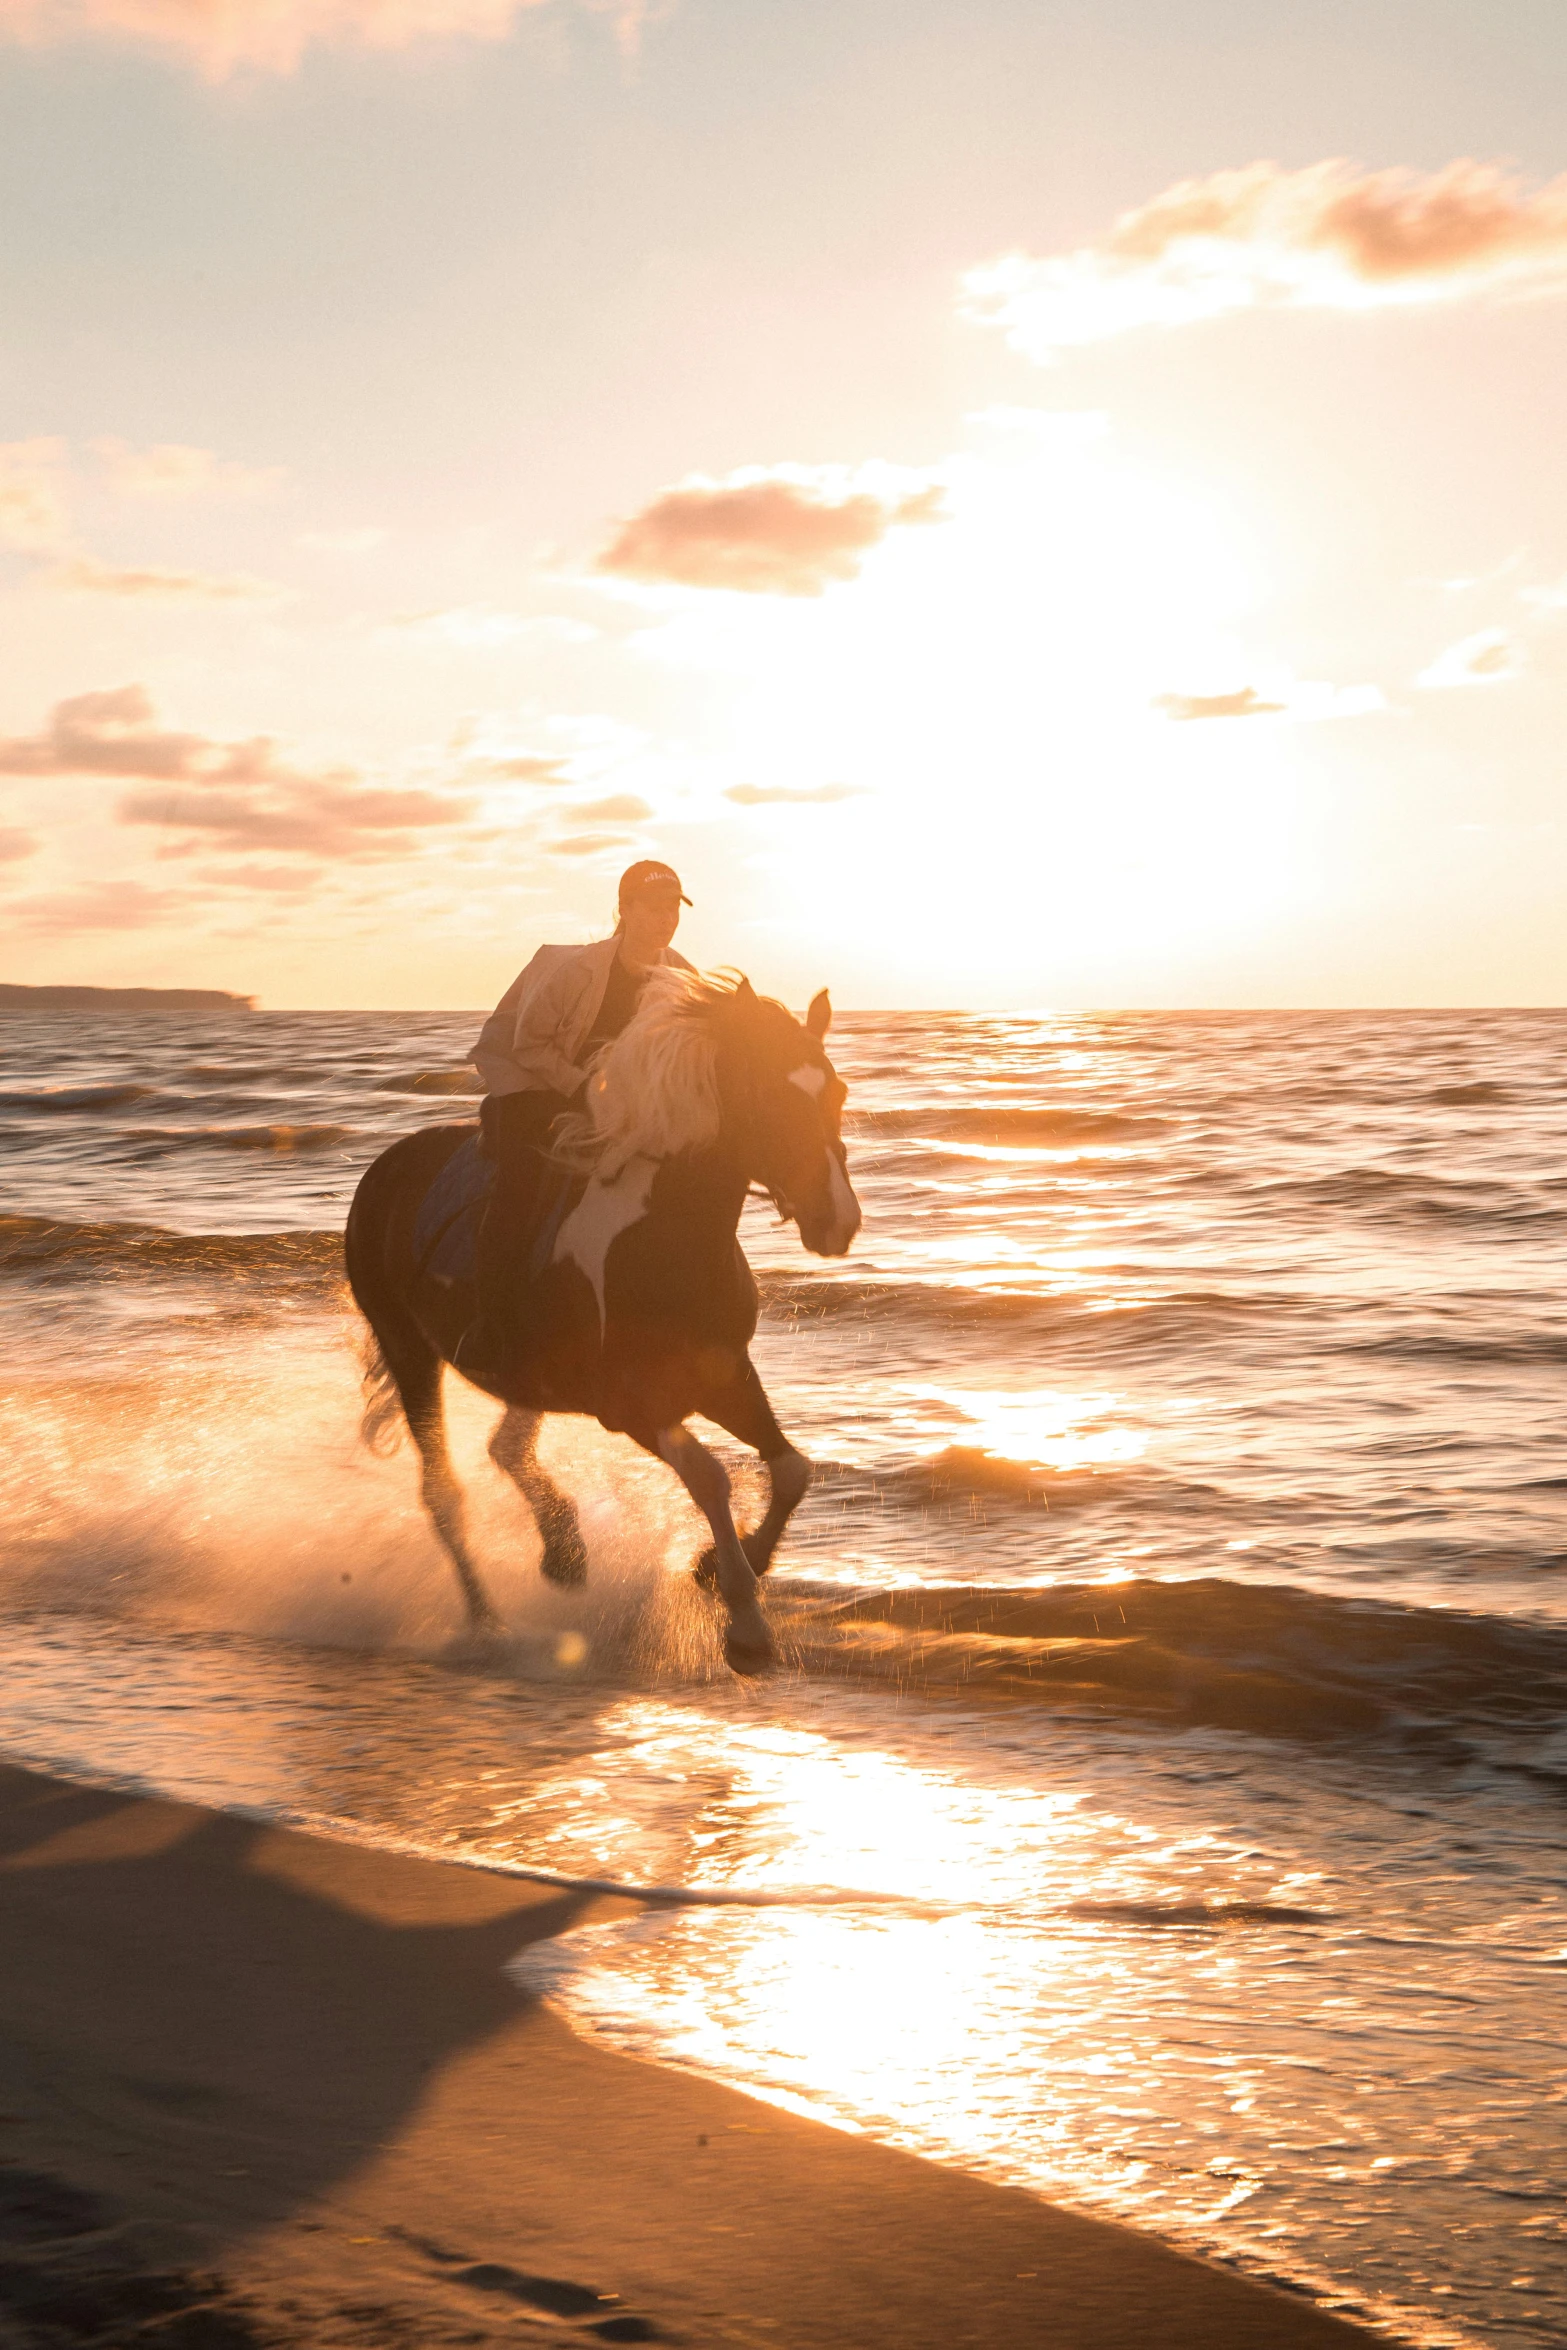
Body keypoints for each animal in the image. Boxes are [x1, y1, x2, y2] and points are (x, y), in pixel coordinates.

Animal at [345, 968, 864, 1673]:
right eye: (765, 1095)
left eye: (836, 1091)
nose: (837, 1222)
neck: (664, 1237)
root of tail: (384, 1167)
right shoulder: (630, 1404)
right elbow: (710, 1476)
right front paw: (745, 1625)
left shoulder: (724, 1373)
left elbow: (791, 1469)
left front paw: (716, 1568)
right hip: (408, 1349)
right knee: (443, 1493)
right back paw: (487, 1625)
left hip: (530, 1376)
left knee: (505, 1448)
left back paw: (564, 1552)